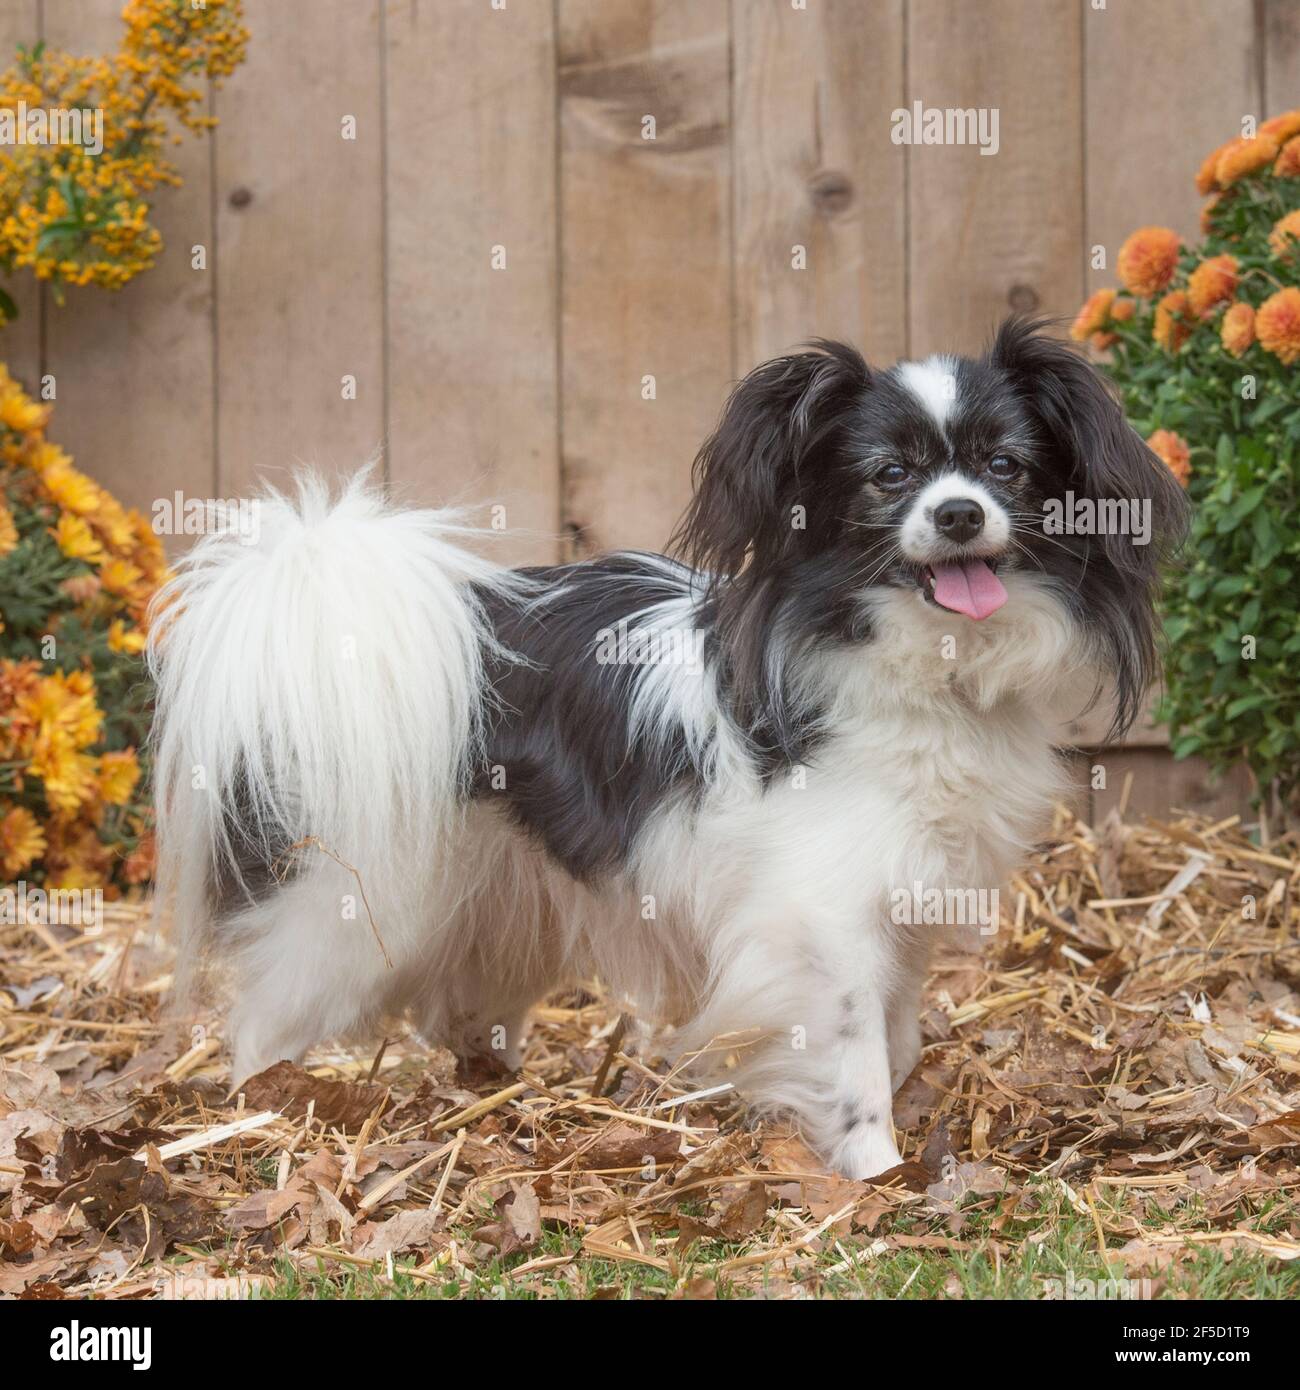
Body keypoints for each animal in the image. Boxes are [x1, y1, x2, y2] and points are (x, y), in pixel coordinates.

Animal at [150, 312, 1190, 1173]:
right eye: (889, 477)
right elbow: (853, 1059)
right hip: (350, 910)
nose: (960, 513)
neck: (925, 665)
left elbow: (894, 1039)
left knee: (458, 1008)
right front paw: (875, 1180)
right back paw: (263, 1116)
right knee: (265, 1017)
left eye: (1006, 467)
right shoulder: (819, 920)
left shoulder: (898, 911)